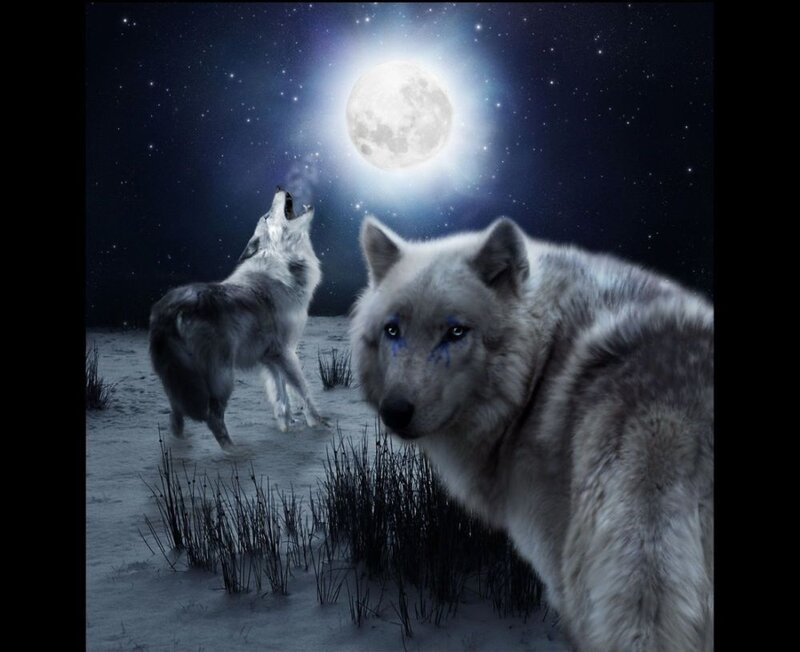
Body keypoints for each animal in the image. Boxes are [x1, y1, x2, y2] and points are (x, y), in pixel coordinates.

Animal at [149, 188, 326, 450]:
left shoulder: (271, 356)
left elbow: (280, 394)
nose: (279, 187)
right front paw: (318, 423)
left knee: (176, 417)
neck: (282, 259)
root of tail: (170, 309)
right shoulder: (285, 352)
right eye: (266, 216)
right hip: (222, 378)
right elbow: (302, 389)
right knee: (213, 418)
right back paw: (233, 451)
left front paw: (286, 425)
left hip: (180, 383)